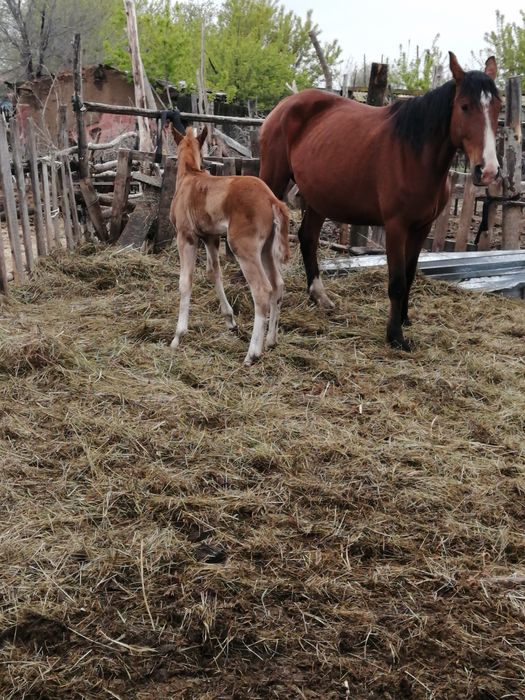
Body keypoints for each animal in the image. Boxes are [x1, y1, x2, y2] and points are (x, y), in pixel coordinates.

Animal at [169, 126, 290, 365]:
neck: (189, 176)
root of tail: (272, 200)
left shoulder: (186, 236)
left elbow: (185, 281)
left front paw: (178, 336)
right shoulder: (210, 237)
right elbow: (213, 272)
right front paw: (230, 321)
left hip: (243, 246)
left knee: (262, 289)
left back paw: (252, 354)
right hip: (266, 250)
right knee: (278, 285)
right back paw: (271, 341)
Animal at [259, 52, 501, 350]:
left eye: (498, 107)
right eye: (465, 106)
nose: (487, 170)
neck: (415, 154)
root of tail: (286, 103)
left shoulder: (422, 227)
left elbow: (409, 274)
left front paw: (405, 319)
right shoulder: (396, 226)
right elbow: (396, 280)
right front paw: (395, 335)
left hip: (318, 197)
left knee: (308, 238)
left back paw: (320, 296)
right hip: (273, 177)